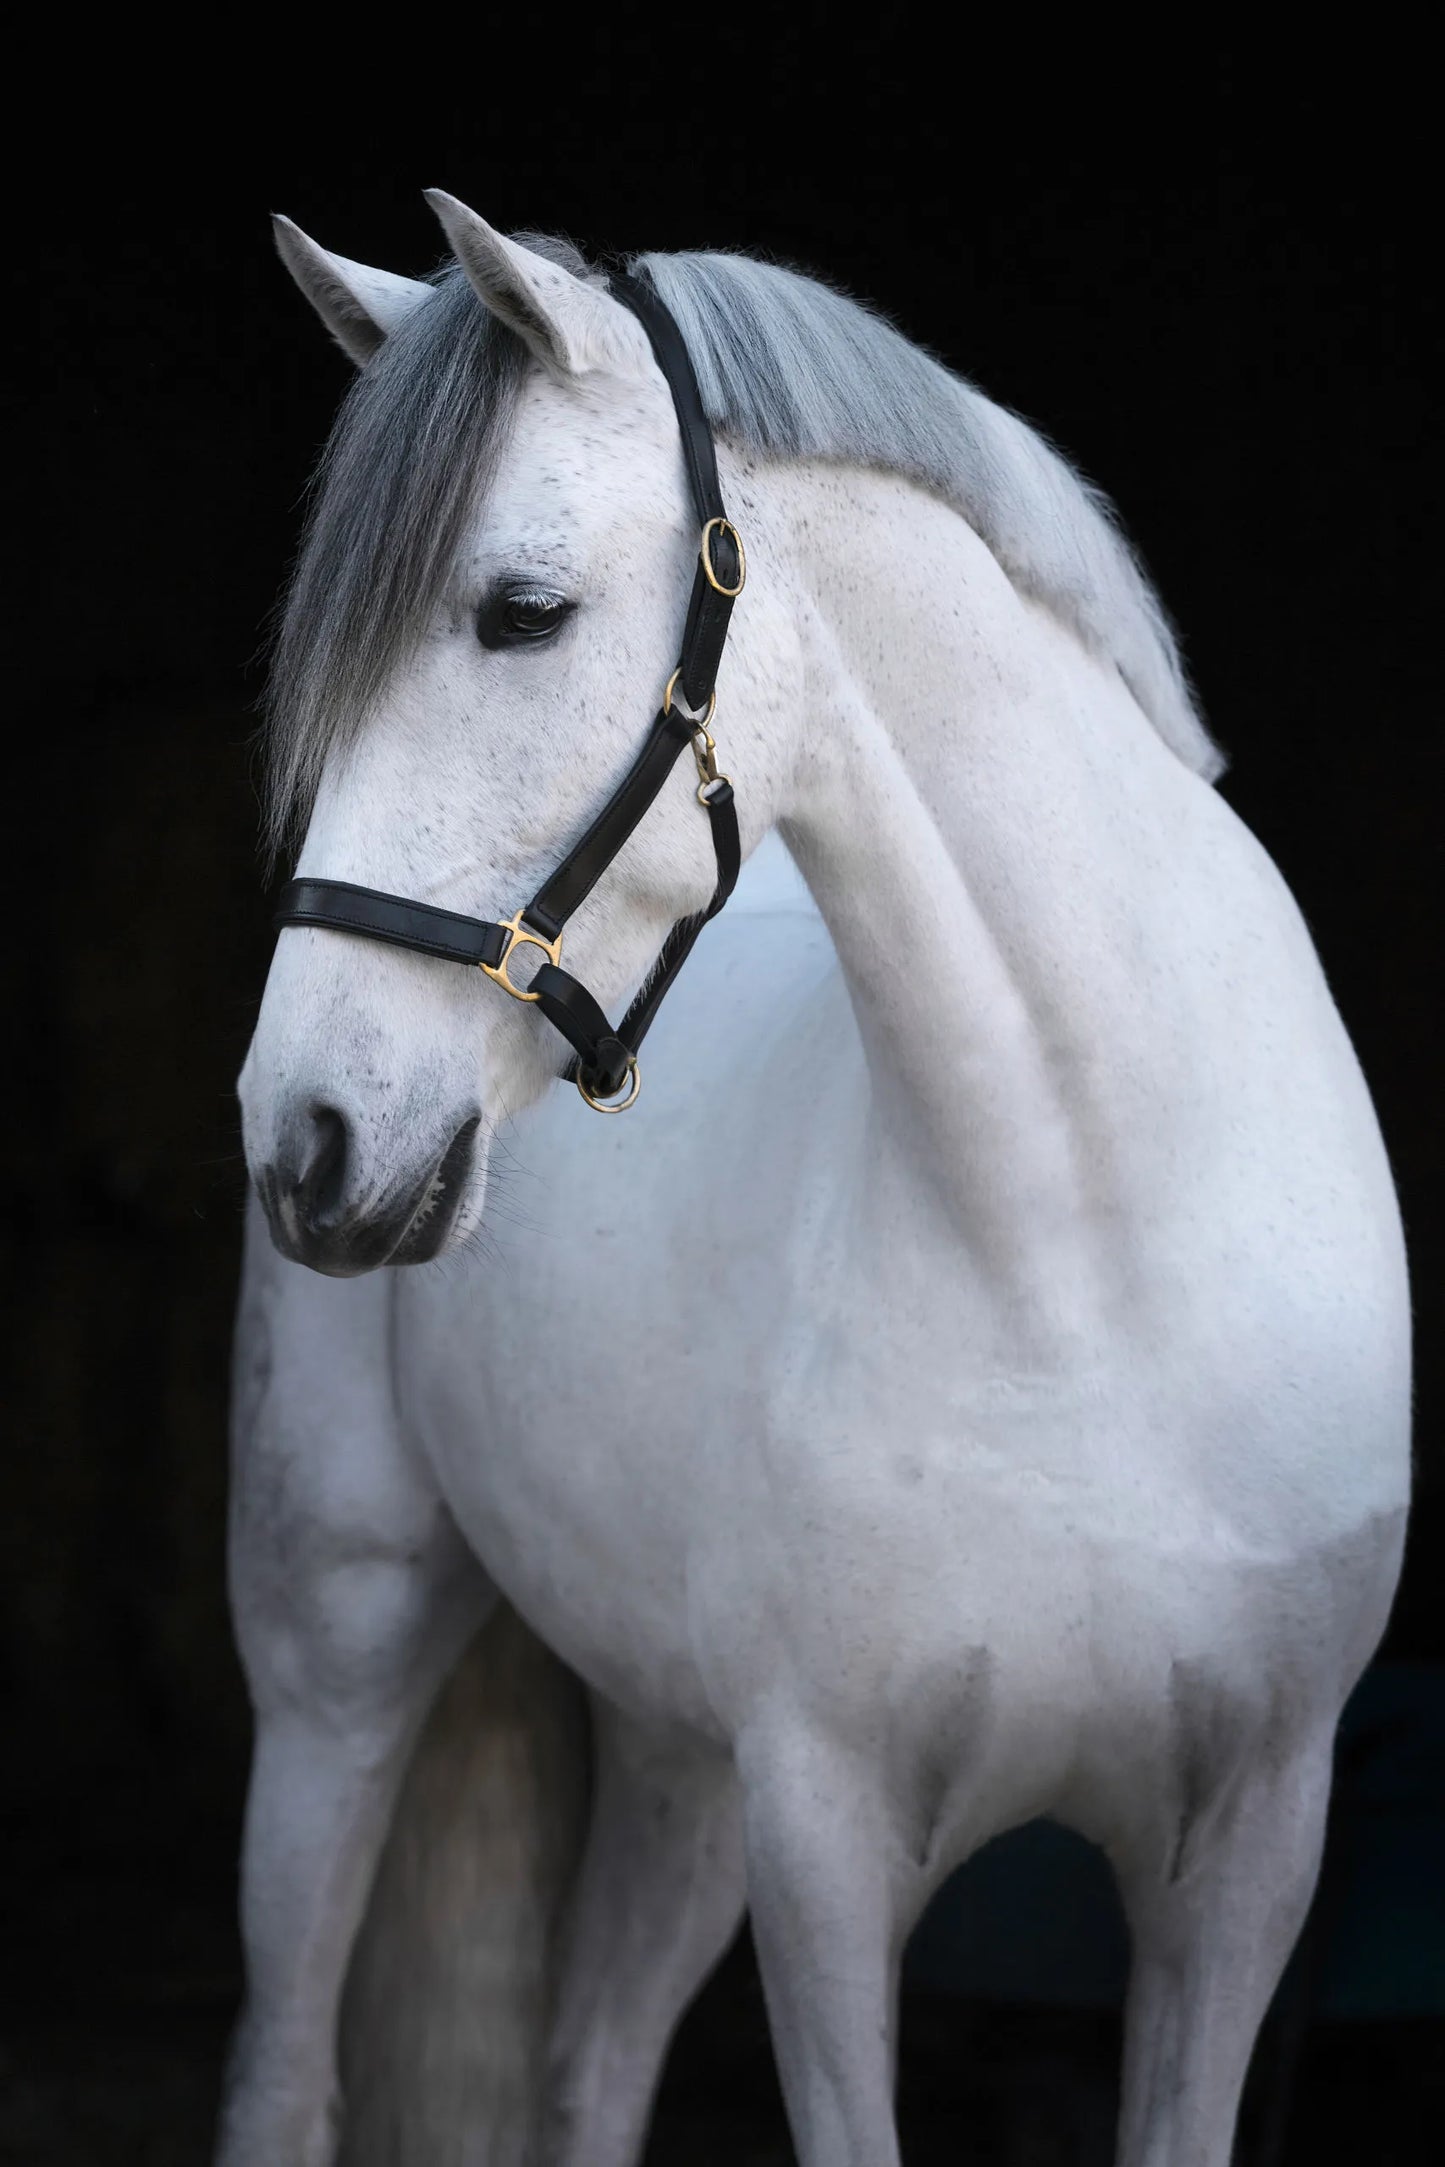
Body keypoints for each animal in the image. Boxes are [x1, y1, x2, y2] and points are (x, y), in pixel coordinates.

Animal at [220, 192, 1410, 2167]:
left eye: (519, 613)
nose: (304, 1135)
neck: (1085, 1264)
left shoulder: (1247, 1858)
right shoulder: (830, 1845)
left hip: (683, 1763)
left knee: (595, 2061)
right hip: (342, 1644)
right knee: (287, 2058)